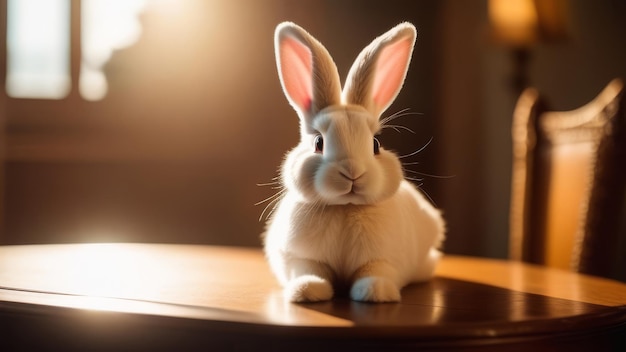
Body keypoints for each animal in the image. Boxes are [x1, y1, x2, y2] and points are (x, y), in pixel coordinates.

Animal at [264, 21, 444, 302]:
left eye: (375, 144)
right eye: (319, 143)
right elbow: (308, 271)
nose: (352, 172)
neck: (344, 207)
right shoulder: (301, 257)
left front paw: (375, 292)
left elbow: (376, 271)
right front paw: (307, 290)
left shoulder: (382, 259)